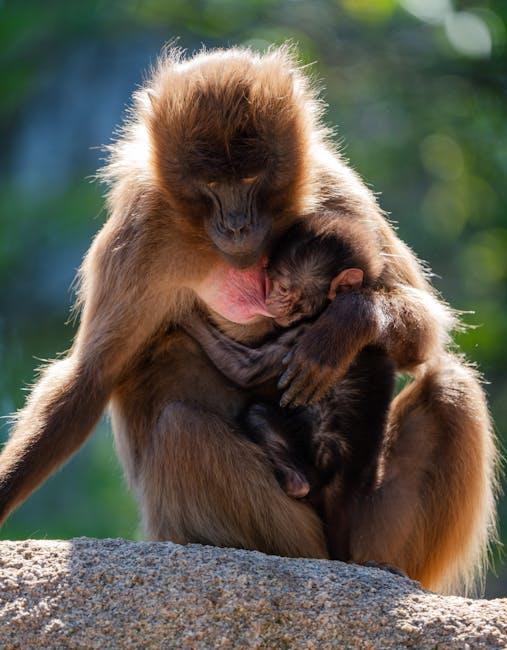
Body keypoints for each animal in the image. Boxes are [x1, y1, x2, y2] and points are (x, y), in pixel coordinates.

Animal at [184, 223, 396, 506]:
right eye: (271, 282)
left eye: (283, 288)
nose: (269, 299)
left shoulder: (307, 332)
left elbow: (246, 368)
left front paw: (186, 316)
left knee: (257, 413)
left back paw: (296, 482)